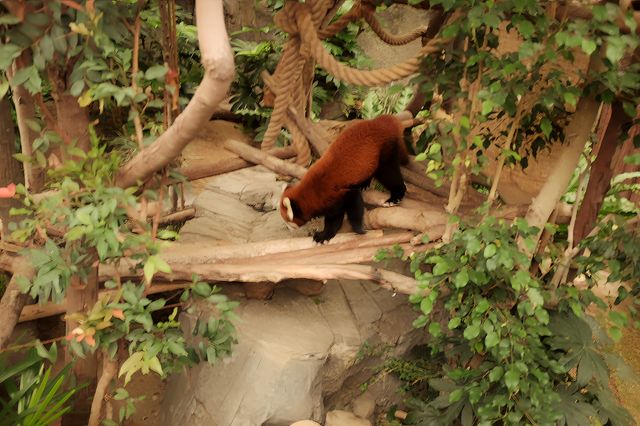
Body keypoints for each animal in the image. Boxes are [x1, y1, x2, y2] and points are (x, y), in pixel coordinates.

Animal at [280, 115, 410, 243]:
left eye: (288, 223)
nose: (288, 228)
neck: (312, 192)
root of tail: (381, 120)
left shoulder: (337, 192)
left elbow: (353, 206)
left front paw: (358, 229)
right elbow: (334, 217)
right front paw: (324, 235)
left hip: (385, 149)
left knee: (389, 173)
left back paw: (395, 197)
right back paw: (365, 183)